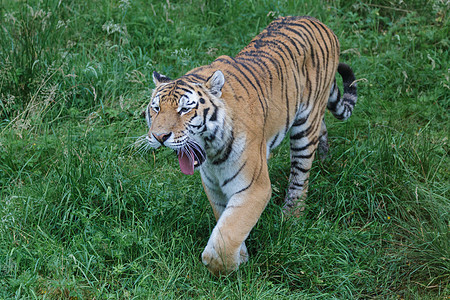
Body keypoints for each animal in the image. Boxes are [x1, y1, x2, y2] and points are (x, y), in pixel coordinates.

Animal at [142, 15, 356, 274]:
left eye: (185, 109)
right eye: (156, 108)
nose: (159, 136)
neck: (212, 154)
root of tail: (318, 21)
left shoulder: (254, 187)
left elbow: (227, 234)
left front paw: (228, 266)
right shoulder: (213, 187)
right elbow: (225, 221)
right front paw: (241, 256)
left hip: (305, 126)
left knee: (300, 176)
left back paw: (291, 217)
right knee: (321, 130)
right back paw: (324, 159)